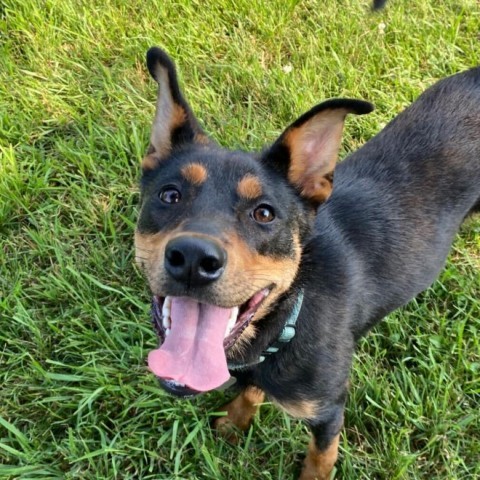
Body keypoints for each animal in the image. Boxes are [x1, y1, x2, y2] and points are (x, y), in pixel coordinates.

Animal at [135, 47, 480, 478]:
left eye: (265, 213)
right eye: (169, 195)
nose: (194, 259)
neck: (288, 320)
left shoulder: (328, 409)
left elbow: (321, 454)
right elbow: (250, 392)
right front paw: (235, 420)